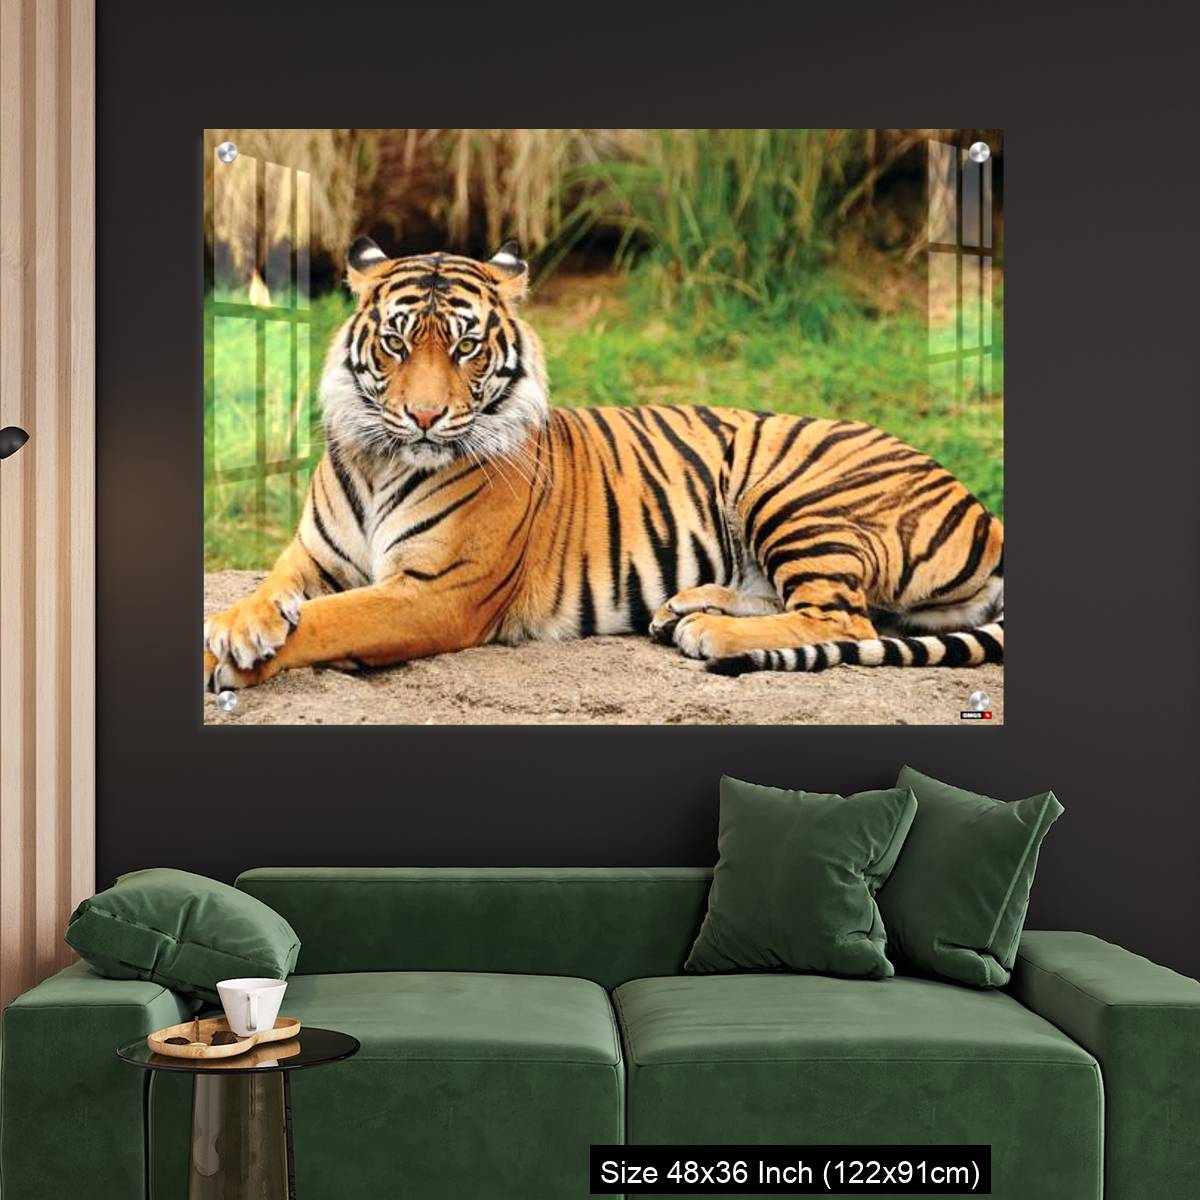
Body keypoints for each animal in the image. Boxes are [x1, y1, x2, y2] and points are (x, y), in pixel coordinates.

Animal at [203, 237, 1004, 693]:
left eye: (466, 347)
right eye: (397, 343)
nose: (425, 417)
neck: (380, 461)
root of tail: (987, 515)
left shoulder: (436, 591)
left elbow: (329, 620)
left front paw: (233, 658)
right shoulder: (313, 554)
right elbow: (275, 591)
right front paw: (239, 624)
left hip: (794, 493)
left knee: (842, 616)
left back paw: (710, 632)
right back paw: (686, 607)